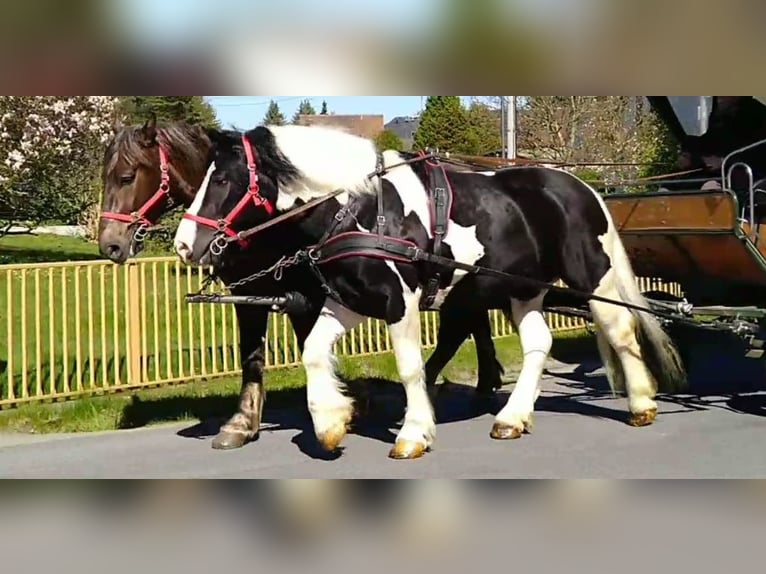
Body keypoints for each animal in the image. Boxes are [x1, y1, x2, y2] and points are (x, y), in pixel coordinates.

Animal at [97, 117, 508, 452]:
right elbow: (257, 354)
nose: (109, 244)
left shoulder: (304, 293)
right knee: (469, 324)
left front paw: (341, 405)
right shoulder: (256, 294)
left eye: (127, 176)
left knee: (460, 327)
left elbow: (295, 345)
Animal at [173, 124, 687, 461]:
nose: (182, 244)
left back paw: (642, 404)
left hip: (591, 277)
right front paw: (331, 424)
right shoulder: (346, 302)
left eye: (222, 179)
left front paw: (413, 433)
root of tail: (580, 185)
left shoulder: (400, 302)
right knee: (539, 342)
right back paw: (512, 417)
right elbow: (314, 352)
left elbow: (410, 367)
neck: (362, 209)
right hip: (522, 290)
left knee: (620, 329)